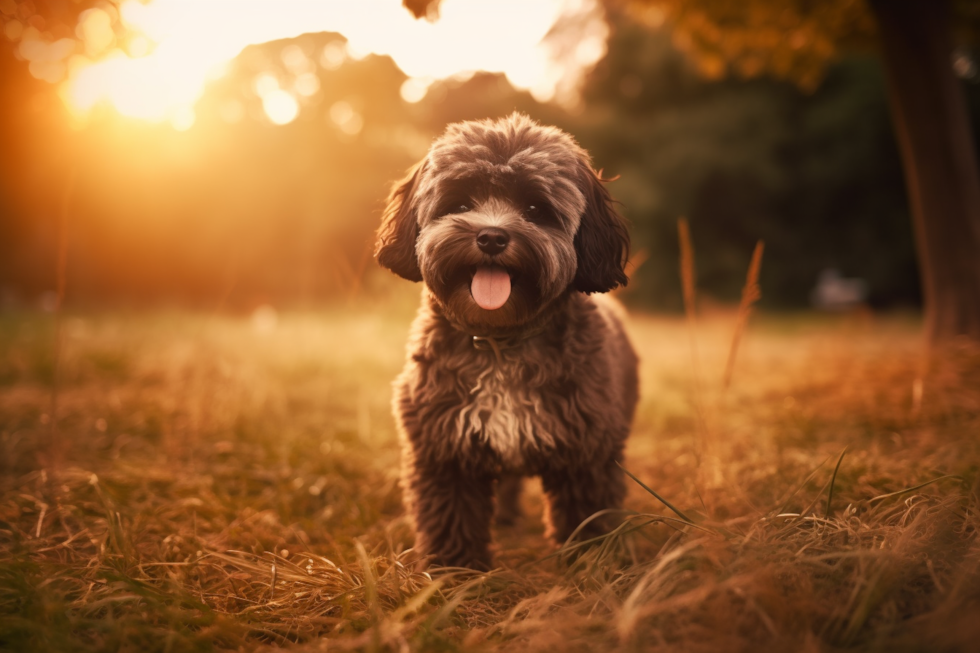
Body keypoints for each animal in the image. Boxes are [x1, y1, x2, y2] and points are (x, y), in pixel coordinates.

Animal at [374, 114, 636, 568]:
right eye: (461, 204)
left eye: (535, 209)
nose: (492, 237)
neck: (500, 340)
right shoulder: (444, 451)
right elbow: (452, 517)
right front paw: (454, 572)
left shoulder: (587, 455)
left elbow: (587, 515)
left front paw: (591, 563)